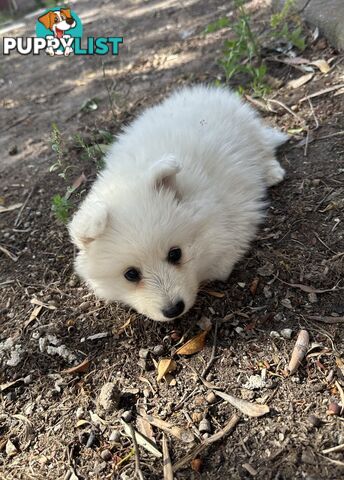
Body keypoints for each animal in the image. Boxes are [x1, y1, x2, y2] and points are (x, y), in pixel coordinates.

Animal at [68, 85, 286, 322]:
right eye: (131, 274)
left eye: (175, 254)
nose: (173, 309)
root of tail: (202, 91)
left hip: (248, 130)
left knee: (264, 147)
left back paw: (273, 171)